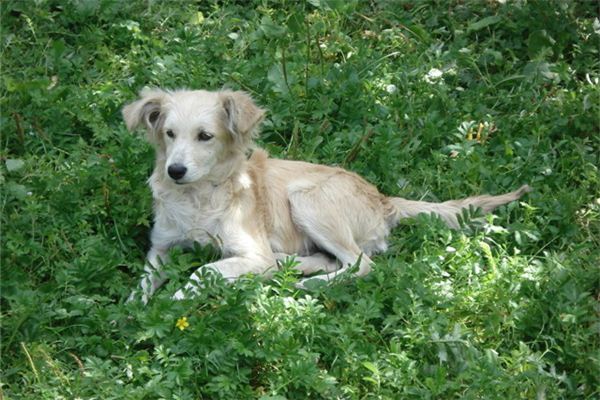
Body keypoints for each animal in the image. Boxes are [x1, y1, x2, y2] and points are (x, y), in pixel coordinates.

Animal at [122, 88, 528, 304]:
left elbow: (204, 269)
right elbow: (144, 280)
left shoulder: (253, 252)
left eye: (205, 136)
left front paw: (180, 296)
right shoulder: (161, 247)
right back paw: (295, 266)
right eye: (170, 134)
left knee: (361, 264)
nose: (175, 171)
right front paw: (133, 309)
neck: (197, 198)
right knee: (332, 260)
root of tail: (384, 199)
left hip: (307, 199)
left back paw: (307, 282)